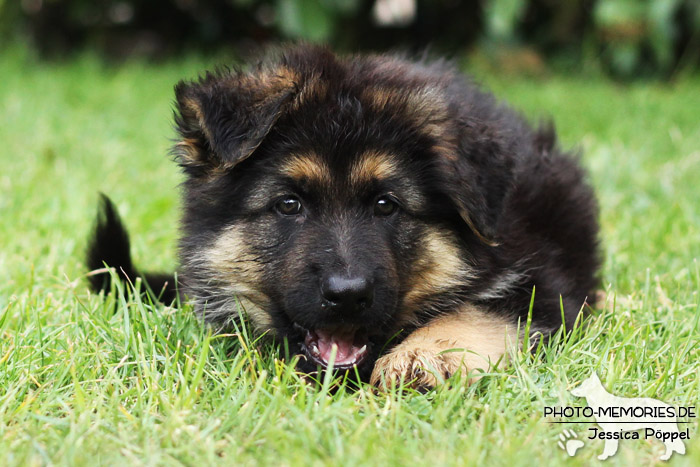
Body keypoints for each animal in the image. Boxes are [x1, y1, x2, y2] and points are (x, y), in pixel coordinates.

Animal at [87, 44, 600, 388]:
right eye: (289, 204)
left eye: (386, 205)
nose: (348, 294)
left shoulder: (544, 280)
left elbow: (481, 307)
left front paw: (424, 355)